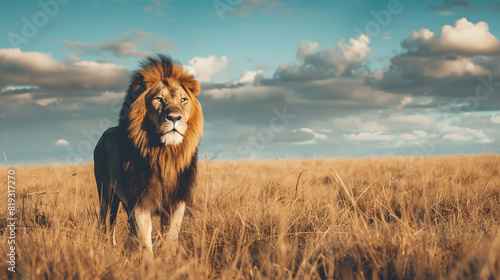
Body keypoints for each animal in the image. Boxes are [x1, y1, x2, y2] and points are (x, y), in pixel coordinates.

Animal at [93, 54, 202, 256]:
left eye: (183, 100)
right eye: (158, 99)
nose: (175, 117)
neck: (165, 154)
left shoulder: (176, 201)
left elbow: (170, 238)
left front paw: (167, 259)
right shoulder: (139, 200)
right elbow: (145, 241)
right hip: (106, 194)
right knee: (107, 225)